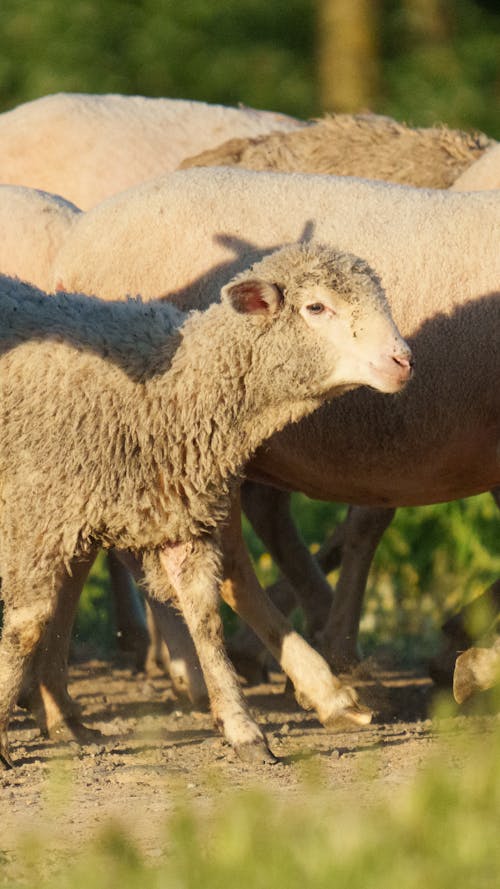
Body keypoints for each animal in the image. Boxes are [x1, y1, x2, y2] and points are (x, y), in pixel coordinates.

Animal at [0, 239, 414, 768]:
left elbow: (205, 616)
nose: (403, 360)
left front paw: (243, 729)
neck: (168, 389)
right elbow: (27, 626)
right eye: (317, 307)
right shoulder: (37, 514)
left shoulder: (178, 519)